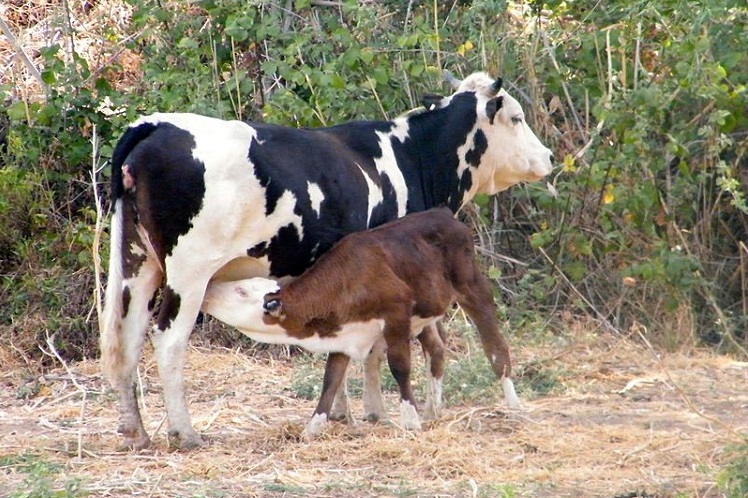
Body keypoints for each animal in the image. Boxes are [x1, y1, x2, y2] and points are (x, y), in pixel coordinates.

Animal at [205, 208, 520, 434]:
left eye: (241, 290)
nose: (208, 290)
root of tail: (445, 214)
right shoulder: (342, 333)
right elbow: (331, 378)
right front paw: (312, 427)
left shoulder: (396, 313)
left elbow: (400, 366)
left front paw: (410, 420)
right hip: (426, 311)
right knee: (437, 349)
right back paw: (433, 410)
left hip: (473, 286)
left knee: (495, 347)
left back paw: (515, 407)